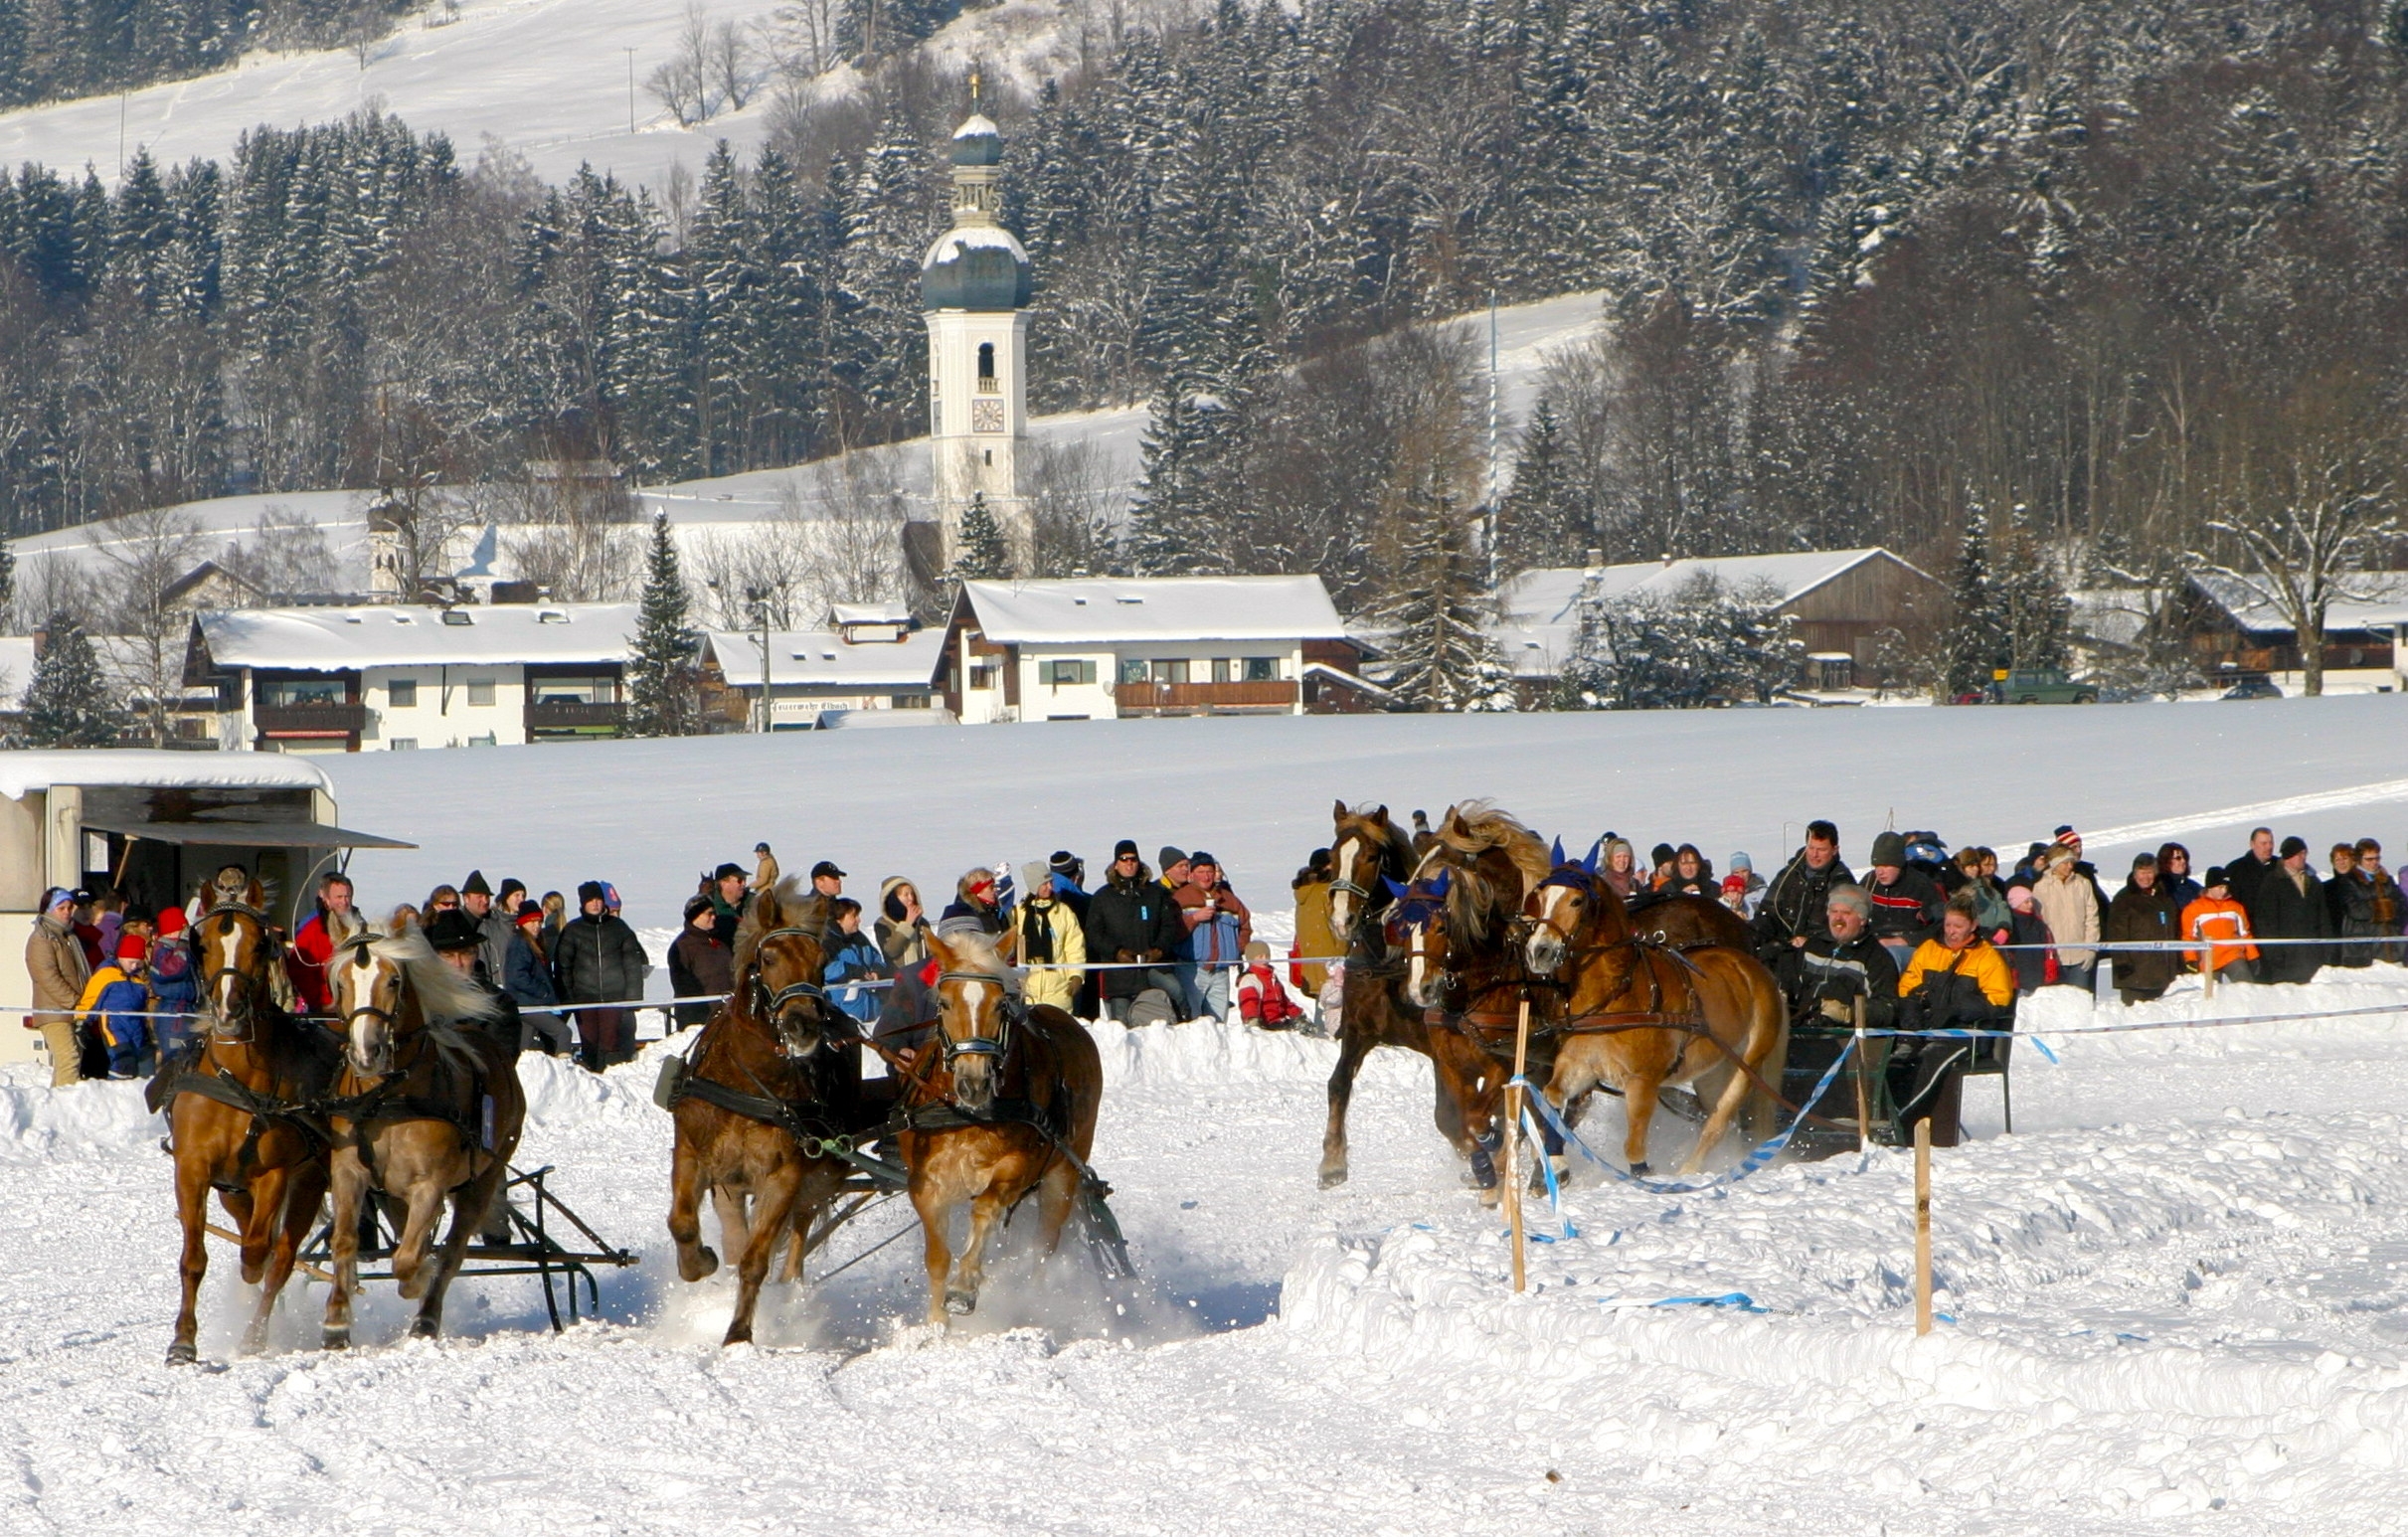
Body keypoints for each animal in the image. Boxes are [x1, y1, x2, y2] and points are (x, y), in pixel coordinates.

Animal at [162, 872, 344, 1368]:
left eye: (261, 945)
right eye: (203, 943)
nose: (228, 1009)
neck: (237, 1082)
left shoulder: (275, 1174)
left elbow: (259, 1252)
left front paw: (252, 1288)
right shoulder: (193, 1169)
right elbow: (193, 1258)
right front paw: (182, 1342)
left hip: (308, 1182)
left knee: (281, 1256)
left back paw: (256, 1334)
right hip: (233, 1191)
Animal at [317, 920, 524, 1358]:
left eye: (394, 980)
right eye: (341, 983)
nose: (367, 1053)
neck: (385, 1098)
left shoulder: (430, 1185)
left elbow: (410, 1259)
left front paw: (418, 1279)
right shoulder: (348, 1172)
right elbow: (344, 1241)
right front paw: (336, 1322)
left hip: (482, 1178)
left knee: (453, 1250)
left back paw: (427, 1317)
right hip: (393, 1193)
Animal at [664, 877, 862, 1348]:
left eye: (821, 962)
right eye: (768, 958)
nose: (803, 1026)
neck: (749, 1082)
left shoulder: (785, 1176)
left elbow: (757, 1259)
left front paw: (738, 1332)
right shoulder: (694, 1156)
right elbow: (683, 1223)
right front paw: (698, 1263)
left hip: (817, 1180)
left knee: (795, 1236)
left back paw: (790, 1291)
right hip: (731, 1185)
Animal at [905, 935, 1108, 1329]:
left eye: (1000, 1004)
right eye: (944, 1002)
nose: (974, 1083)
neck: (966, 1116)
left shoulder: (1018, 1168)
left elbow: (985, 1209)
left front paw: (964, 1286)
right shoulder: (925, 1183)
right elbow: (937, 1256)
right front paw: (936, 1324)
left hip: (1063, 1172)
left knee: (1044, 1245)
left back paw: (1033, 1300)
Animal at [1521, 867, 1791, 1180]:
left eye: (1577, 901)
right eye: (1540, 899)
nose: (1538, 951)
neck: (1616, 994)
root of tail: (1759, 970)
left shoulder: (1643, 1081)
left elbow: (1634, 1148)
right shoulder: (1580, 1064)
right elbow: (1552, 1098)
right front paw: (1553, 1162)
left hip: (1747, 1066)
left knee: (1717, 1123)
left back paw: (1687, 1173)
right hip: (1713, 1073)